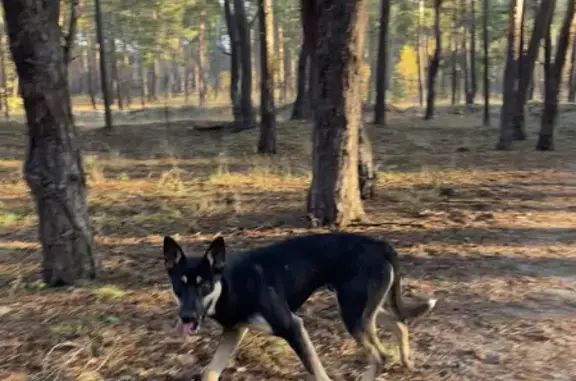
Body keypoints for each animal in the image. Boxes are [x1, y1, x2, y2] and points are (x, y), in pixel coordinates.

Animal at [162, 232, 436, 380]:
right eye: (179, 287)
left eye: (204, 285)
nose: (186, 317)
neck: (230, 283)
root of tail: (381, 245)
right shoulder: (234, 330)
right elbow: (210, 371)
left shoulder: (292, 326)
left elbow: (316, 370)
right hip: (360, 310)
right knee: (399, 322)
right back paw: (407, 361)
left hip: (353, 313)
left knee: (380, 355)